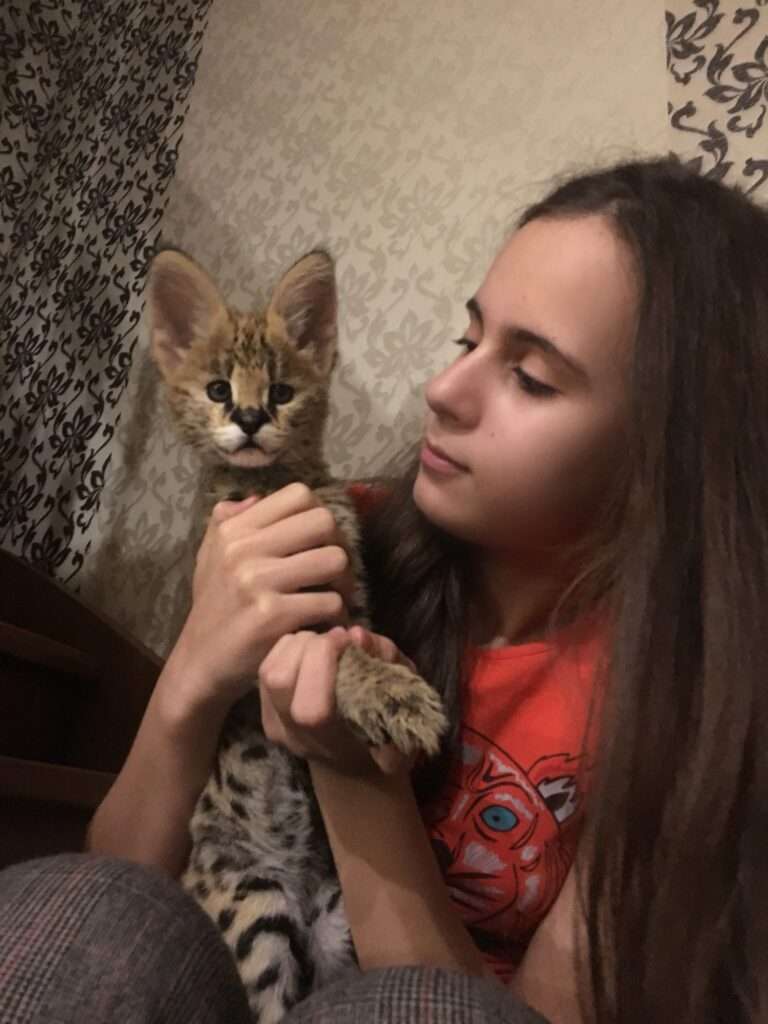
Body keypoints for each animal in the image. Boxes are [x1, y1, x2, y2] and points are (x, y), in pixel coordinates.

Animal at [147, 249, 448, 1024]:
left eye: (281, 391)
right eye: (219, 389)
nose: (251, 418)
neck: (278, 483)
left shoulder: (351, 598)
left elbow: (349, 641)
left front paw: (393, 691)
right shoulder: (264, 625)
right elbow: (332, 654)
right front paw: (396, 698)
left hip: (340, 924)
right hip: (255, 905)